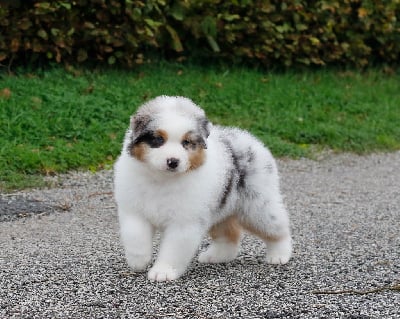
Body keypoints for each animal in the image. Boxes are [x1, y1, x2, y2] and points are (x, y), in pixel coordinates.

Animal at [114, 95, 292, 282]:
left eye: (186, 142)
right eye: (158, 140)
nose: (173, 161)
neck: (162, 180)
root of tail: (251, 140)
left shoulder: (184, 222)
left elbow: (172, 250)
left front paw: (163, 271)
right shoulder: (134, 211)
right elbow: (135, 237)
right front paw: (138, 261)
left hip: (257, 205)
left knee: (277, 228)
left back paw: (279, 255)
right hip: (220, 208)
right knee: (229, 235)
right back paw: (216, 256)